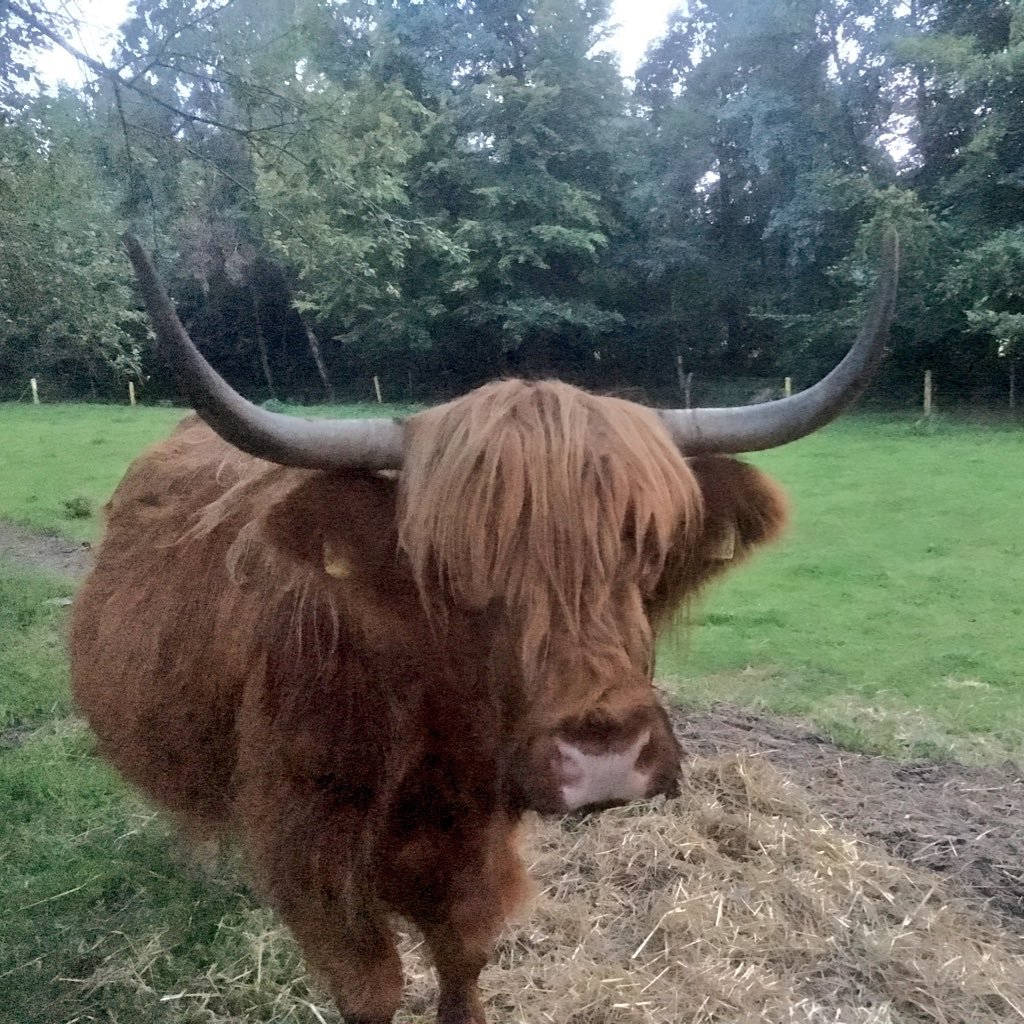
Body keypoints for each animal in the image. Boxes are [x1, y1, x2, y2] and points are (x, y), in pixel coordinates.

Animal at [70, 232, 897, 1024]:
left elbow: (465, 961)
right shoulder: (314, 862)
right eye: (454, 568)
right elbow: (371, 988)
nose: (604, 755)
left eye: (649, 549)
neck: (427, 745)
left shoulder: (479, 853)